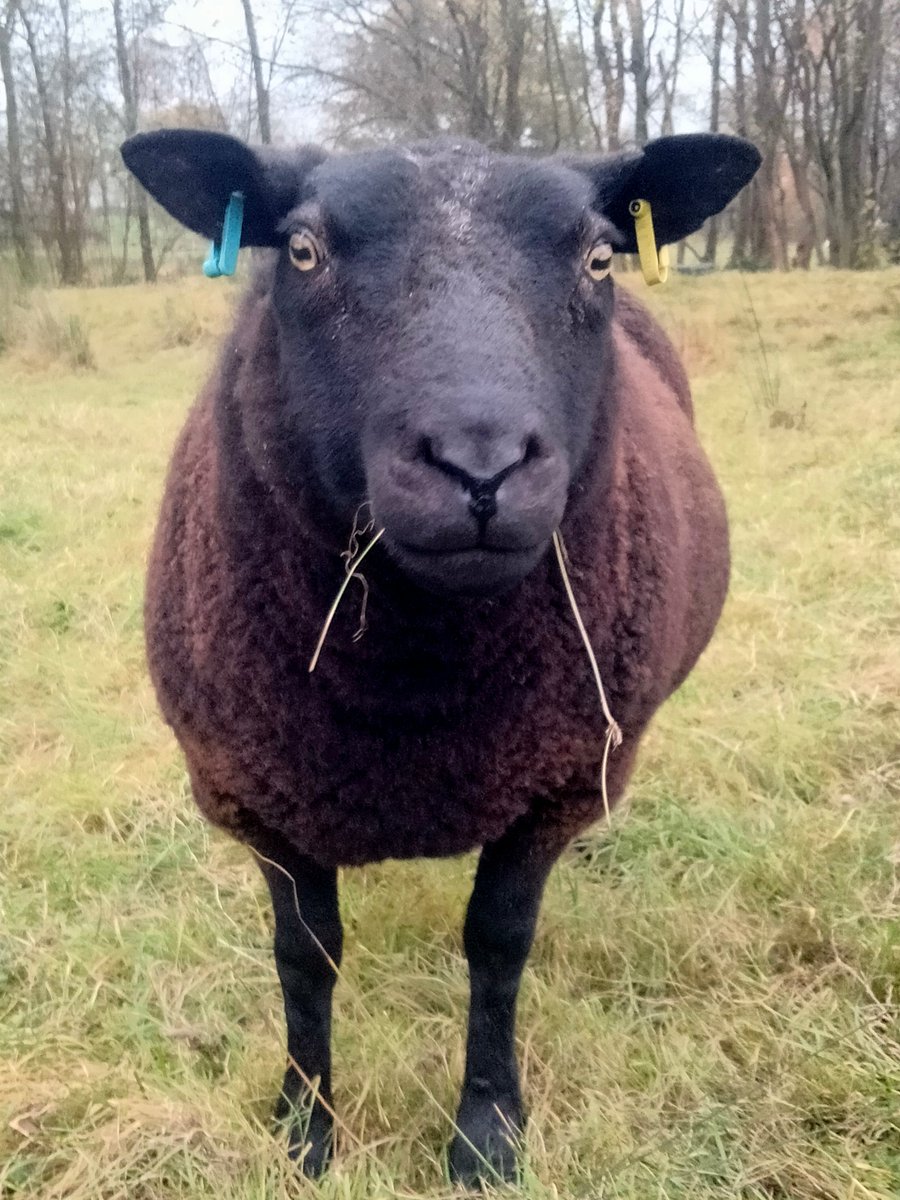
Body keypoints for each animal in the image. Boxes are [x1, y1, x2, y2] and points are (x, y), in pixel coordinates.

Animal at [121, 128, 760, 1184]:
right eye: (303, 252)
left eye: (598, 257)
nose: (480, 465)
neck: (413, 687)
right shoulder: (259, 793)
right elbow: (306, 958)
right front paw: (305, 1131)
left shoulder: (549, 788)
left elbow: (498, 946)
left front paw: (487, 1137)